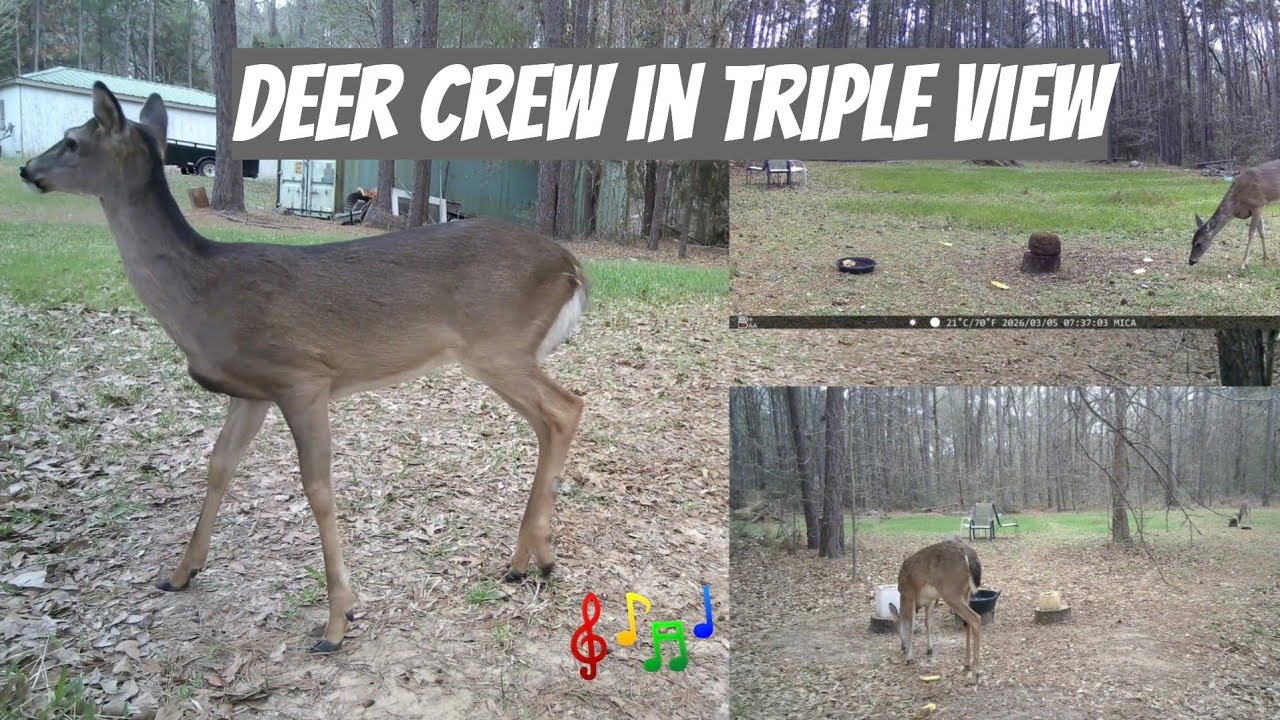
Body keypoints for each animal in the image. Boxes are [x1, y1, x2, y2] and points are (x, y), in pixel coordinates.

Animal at [19, 83, 588, 654]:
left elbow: (317, 489)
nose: (26, 169)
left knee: (567, 407)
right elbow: (219, 465)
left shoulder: (302, 378)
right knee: (548, 422)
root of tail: (573, 268)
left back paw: (535, 556)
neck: (201, 297)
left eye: (72, 140)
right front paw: (180, 573)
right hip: (499, 355)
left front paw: (337, 621)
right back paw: (530, 559)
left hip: (499, 346)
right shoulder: (250, 391)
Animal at [888, 540, 983, 675]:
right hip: (966, 592)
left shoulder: (909, 593)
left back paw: (976, 672)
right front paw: (929, 648)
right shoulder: (930, 599)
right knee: (968, 622)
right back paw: (966, 664)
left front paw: (909, 658)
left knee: (975, 618)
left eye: (896, 630)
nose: (902, 647)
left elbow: (911, 625)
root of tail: (970, 557)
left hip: (950, 591)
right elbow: (927, 622)